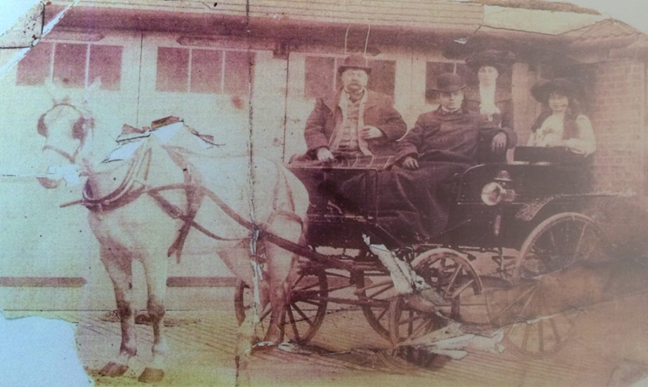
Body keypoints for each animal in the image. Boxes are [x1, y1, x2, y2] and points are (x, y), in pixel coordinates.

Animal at [35, 101, 308, 384]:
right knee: (261, 287)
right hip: (231, 248)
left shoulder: (153, 257)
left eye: (79, 127)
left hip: (279, 245)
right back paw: (247, 340)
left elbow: (155, 308)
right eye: (43, 125)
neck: (126, 180)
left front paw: (155, 364)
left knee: (279, 290)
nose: (46, 174)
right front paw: (122, 358)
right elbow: (124, 307)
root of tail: (289, 175)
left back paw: (270, 340)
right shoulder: (112, 255)